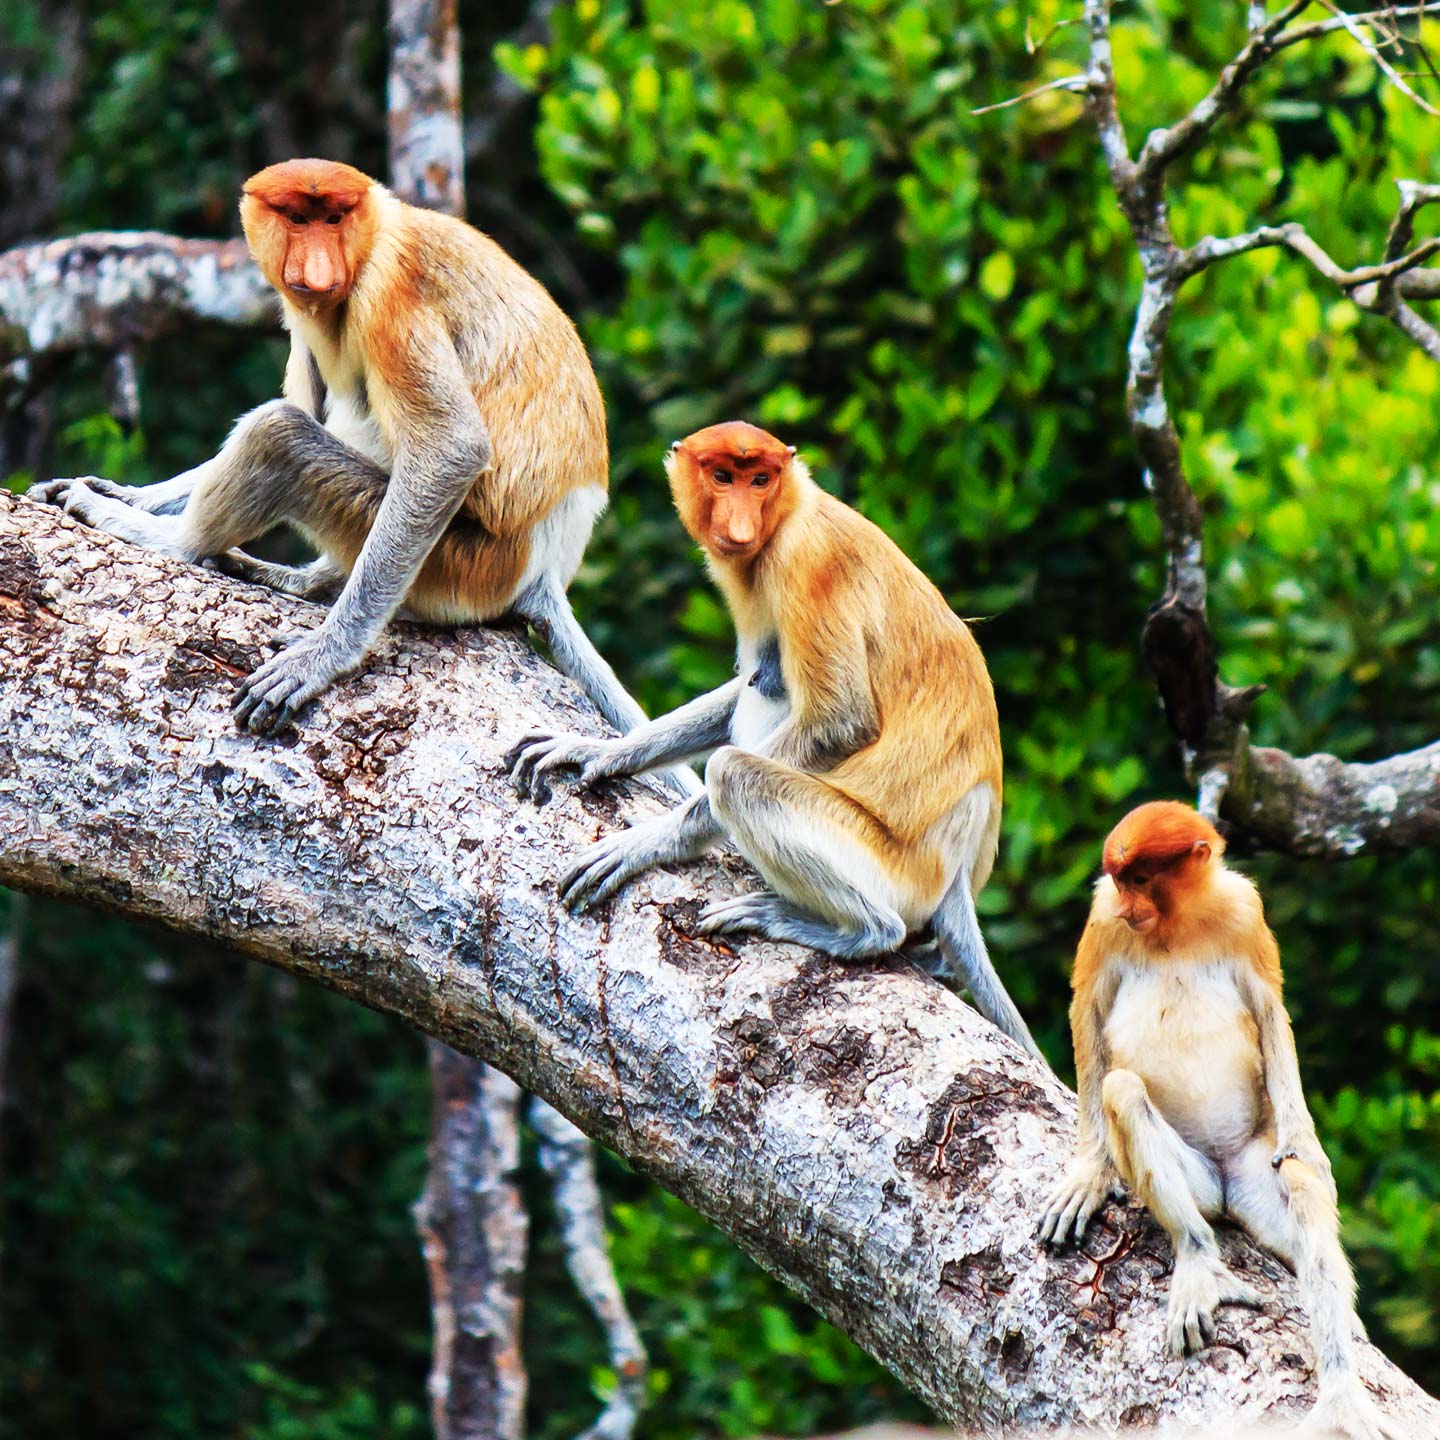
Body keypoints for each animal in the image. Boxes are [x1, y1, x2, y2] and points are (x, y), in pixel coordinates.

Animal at [29, 160, 696, 789]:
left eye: (334, 218)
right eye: (297, 218)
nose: (319, 269)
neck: (374, 234)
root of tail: (544, 567)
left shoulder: (387, 297)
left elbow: (451, 448)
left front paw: (319, 660)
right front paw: (124, 491)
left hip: (463, 566)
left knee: (281, 435)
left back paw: (173, 542)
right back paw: (290, 575)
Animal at [501, 417, 1042, 1059]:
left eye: (760, 480)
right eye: (722, 476)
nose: (741, 525)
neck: (792, 510)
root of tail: (958, 866)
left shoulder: (803, 563)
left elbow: (840, 722)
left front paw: (647, 843)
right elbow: (747, 680)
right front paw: (598, 752)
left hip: (889, 863)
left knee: (738, 771)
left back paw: (853, 930)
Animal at [1042, 800, 1399, 1440]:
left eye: (1141, 879)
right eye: (1121, 882)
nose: (1130, 908)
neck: (1175, 923)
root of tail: (1228, 1185)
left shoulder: (1244, 912)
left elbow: (1269, 1007)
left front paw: (1308, 1145)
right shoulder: (1103, 920)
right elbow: (1088, 1007)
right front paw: (1089, 1175)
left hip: (1254, 1169)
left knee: (1296, 1182)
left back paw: (1341, 1396)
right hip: (1202, 1185)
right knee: (1123, 1090)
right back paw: (1198, 1263)